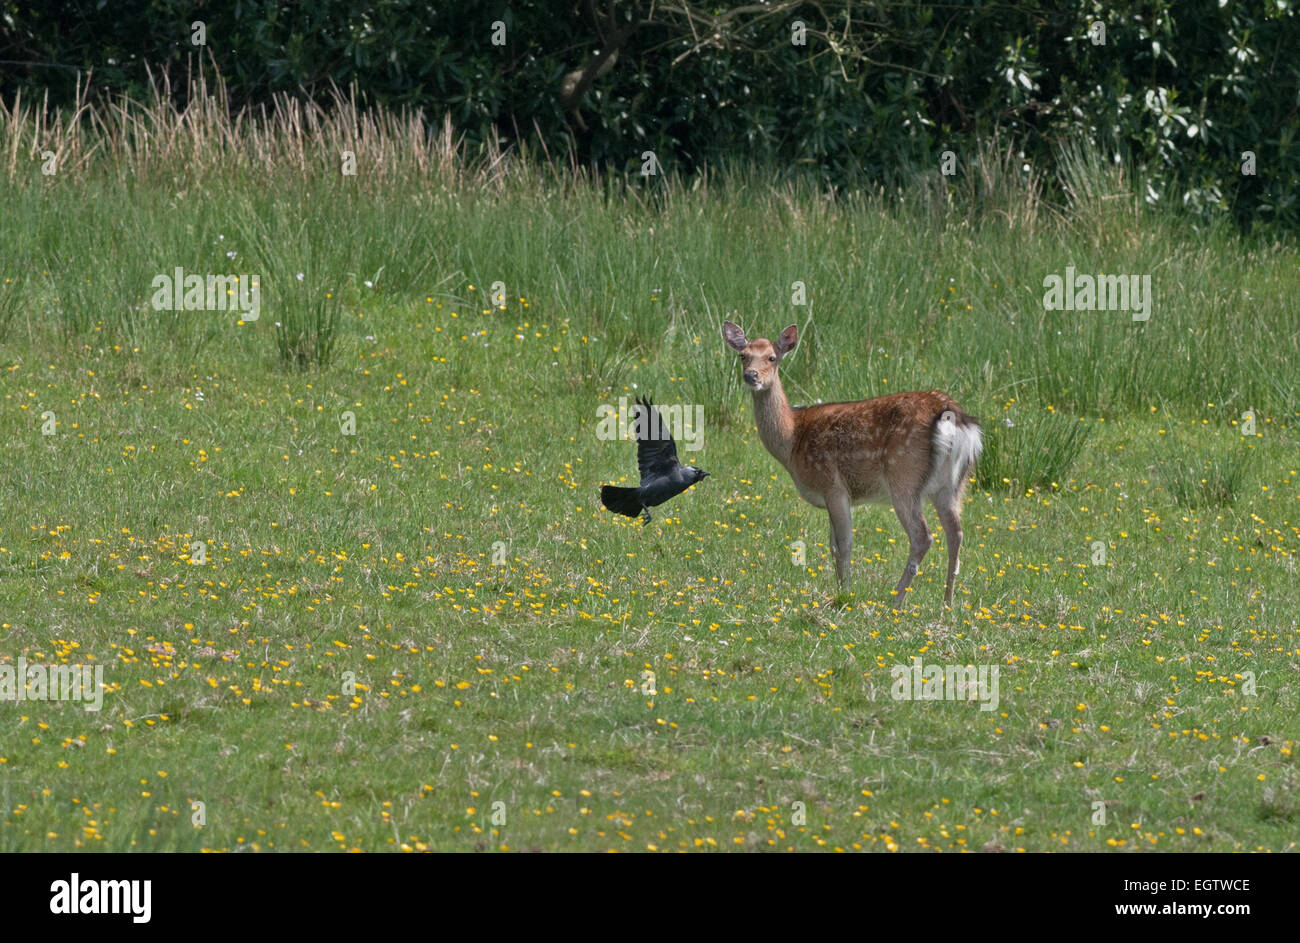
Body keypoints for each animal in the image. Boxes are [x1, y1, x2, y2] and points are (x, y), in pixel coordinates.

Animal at [722, 321, 982, 603]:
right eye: (743, 355)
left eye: (772, 357)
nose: (751, 376)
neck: (792, 440)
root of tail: (952, 416)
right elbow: (833, 545)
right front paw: (840, 588)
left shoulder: (832, 485)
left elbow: (843, 545)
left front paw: (845, 593)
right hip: (952, 485)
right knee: (956, 533)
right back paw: (947, 602)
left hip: (904, 475)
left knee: (922, 536)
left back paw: (896, 600)